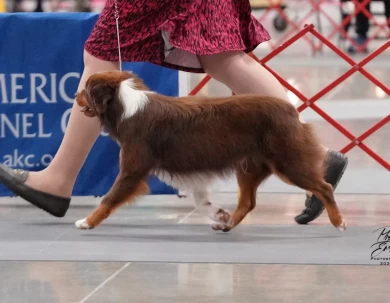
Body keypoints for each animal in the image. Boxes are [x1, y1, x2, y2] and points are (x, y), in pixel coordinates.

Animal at [74, 70, 346, 233]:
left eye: (86, 89)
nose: (75, 95)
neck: (124, 105)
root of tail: (291, 109)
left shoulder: (132, 169)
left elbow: (109, 198)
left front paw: (86, 222)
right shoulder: (191, 168)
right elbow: (200, 201)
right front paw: (219, 214)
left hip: (287, 162)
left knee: (324, 187)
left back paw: (339, 221)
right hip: (250, 166)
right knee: (248, 201)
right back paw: (228, 225)